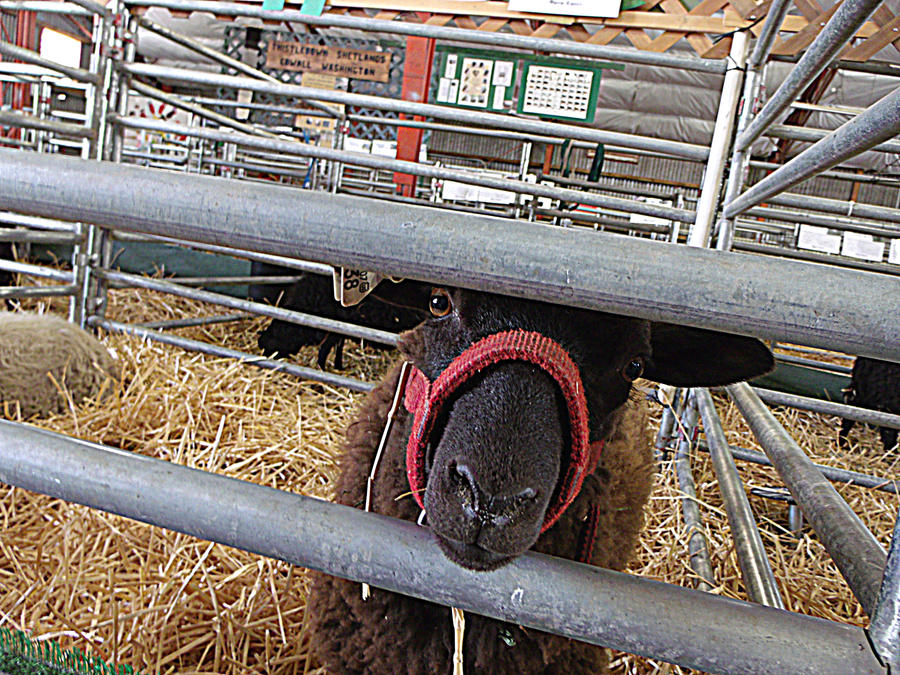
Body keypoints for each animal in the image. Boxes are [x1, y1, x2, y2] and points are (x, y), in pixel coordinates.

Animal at [248, 262, 428, 370]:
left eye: (279, 334)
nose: (263, 350)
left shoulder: (335, 326)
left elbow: (326, 348)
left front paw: (323, 368)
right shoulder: (341, 327)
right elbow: (338, 346)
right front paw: (338, 366)